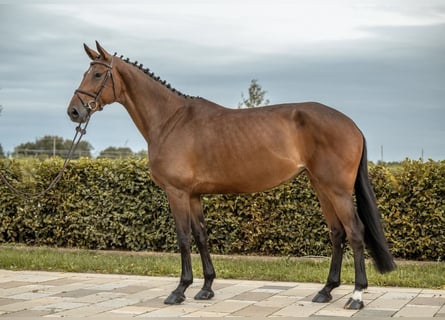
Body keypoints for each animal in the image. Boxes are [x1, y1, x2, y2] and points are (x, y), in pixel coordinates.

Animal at [67, 41, 394, 308]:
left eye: (98, 75)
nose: (74, 112)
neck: (171, 120)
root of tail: (351, 124)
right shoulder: (194, 195)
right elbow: (201, 236)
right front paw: (206, 288)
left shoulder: (177, 193)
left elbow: (183, 238)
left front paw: (179, 291)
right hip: (320, 186)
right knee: (337, 233)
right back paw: (326, 291)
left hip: (337, 189)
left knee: (354, 232)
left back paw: (356, 296)